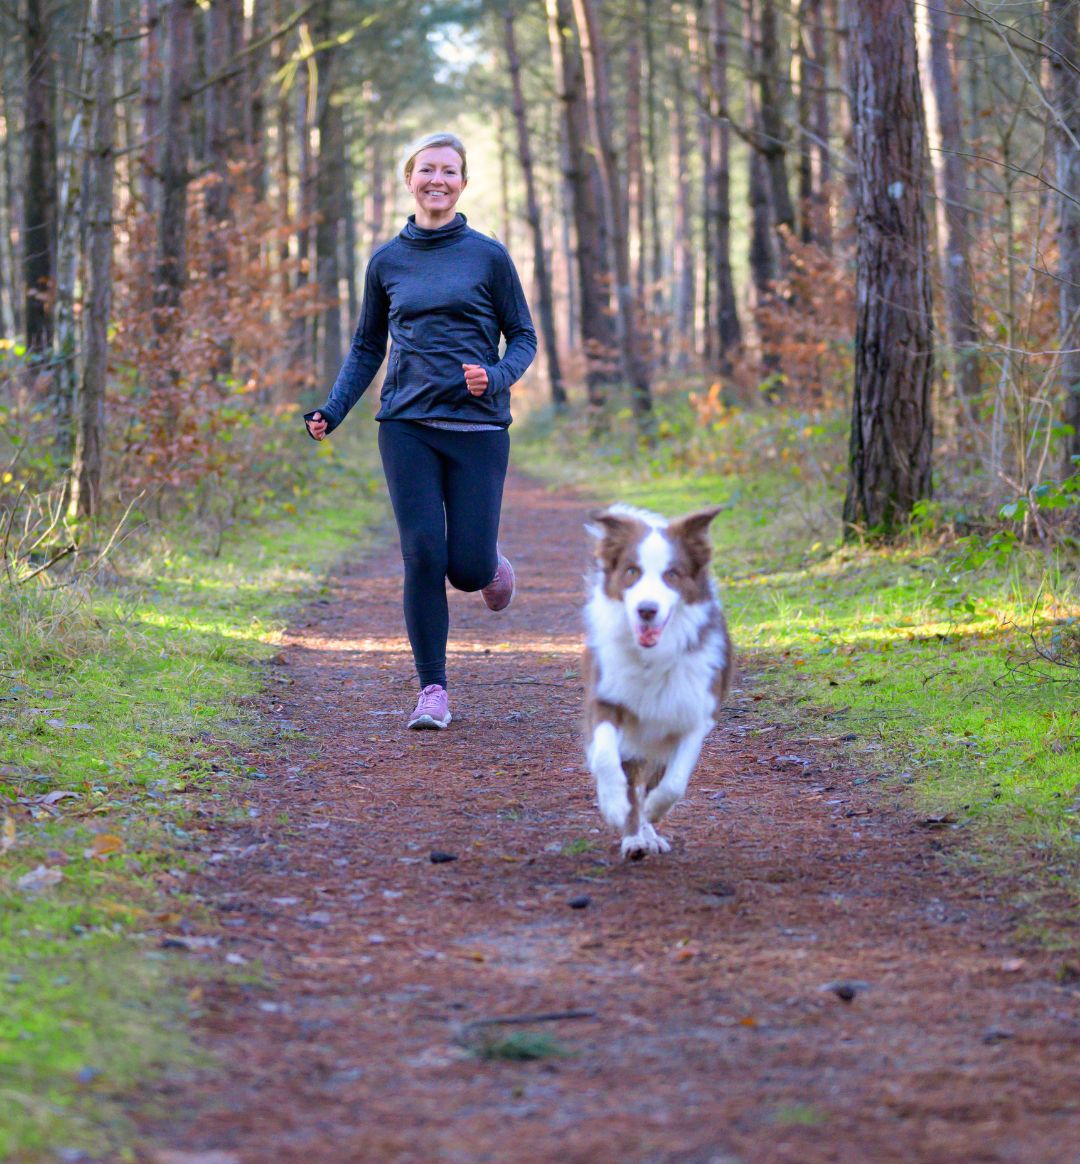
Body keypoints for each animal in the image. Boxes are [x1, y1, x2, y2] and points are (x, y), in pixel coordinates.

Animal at [581, 505, 735, 861]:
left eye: (672, 575)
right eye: (631, 571)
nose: (646, 610)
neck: (652, 657)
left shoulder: (694, 716)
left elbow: (674, 782)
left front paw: (654, 812)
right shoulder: (606, 700)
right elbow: (606, 760)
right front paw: (615, 806)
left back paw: (647, 831)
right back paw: (634, 838)